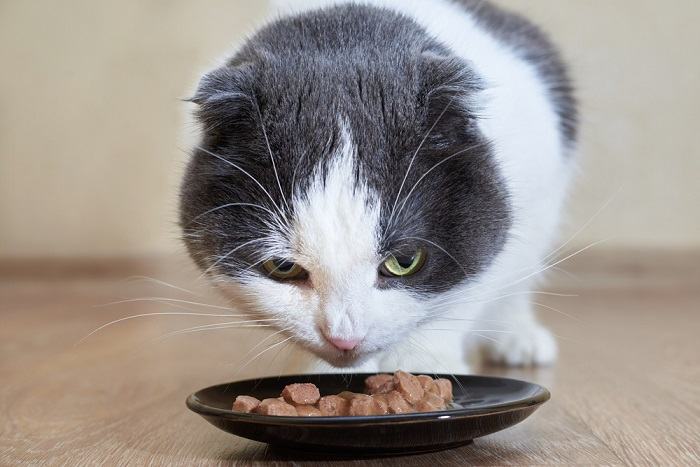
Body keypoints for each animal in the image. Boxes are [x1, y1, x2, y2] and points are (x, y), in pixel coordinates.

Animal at [179, 0, 576, 374]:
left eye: (404, 261)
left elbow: (473, 286)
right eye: (283, 266)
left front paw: (423, 364)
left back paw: (518, 338)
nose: (344, 337)